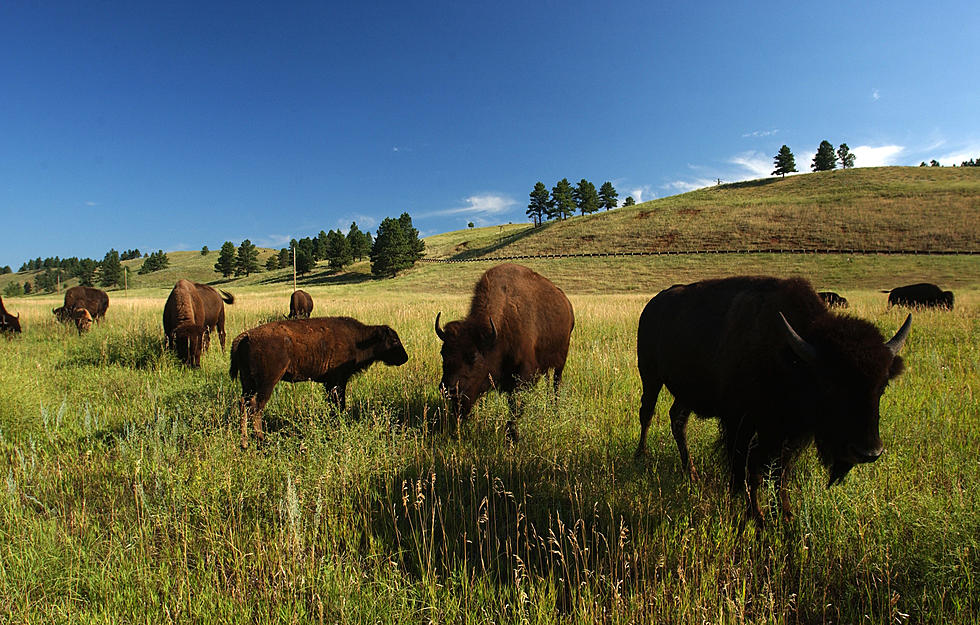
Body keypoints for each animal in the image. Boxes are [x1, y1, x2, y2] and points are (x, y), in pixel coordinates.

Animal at [232, 316, 408, 448]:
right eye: (393, 340)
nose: (404, 358)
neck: (359, 339)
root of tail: (246, 336)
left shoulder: (330, 383)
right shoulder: (338, 381)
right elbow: (339, 404)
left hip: (248, 383)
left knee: (244, 404)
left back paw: (244, 442)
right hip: (266, 383)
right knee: (256, 407)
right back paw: (261, 440)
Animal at [436, 264, 576, 438]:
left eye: (473, 356)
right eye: (443, 353)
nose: (449, 389)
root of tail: (567, 304)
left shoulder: (522, 375)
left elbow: (515, 406)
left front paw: (512, 435)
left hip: (560, 362)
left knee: (556, 385)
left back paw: (554, 410)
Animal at [636, 276, 912, 524]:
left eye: (882, 386)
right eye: (829, 384)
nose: (868, 452)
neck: (791, 358)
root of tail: (653, 305)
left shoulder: (785, 433)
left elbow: (781, 472)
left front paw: (785, 514)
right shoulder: (742, 424)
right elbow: (750, 470)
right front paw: (755, 515)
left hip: (685, 393)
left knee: (677, 420)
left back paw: (691, 473)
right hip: (651, 377)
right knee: (647, 414)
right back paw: (642, 455)